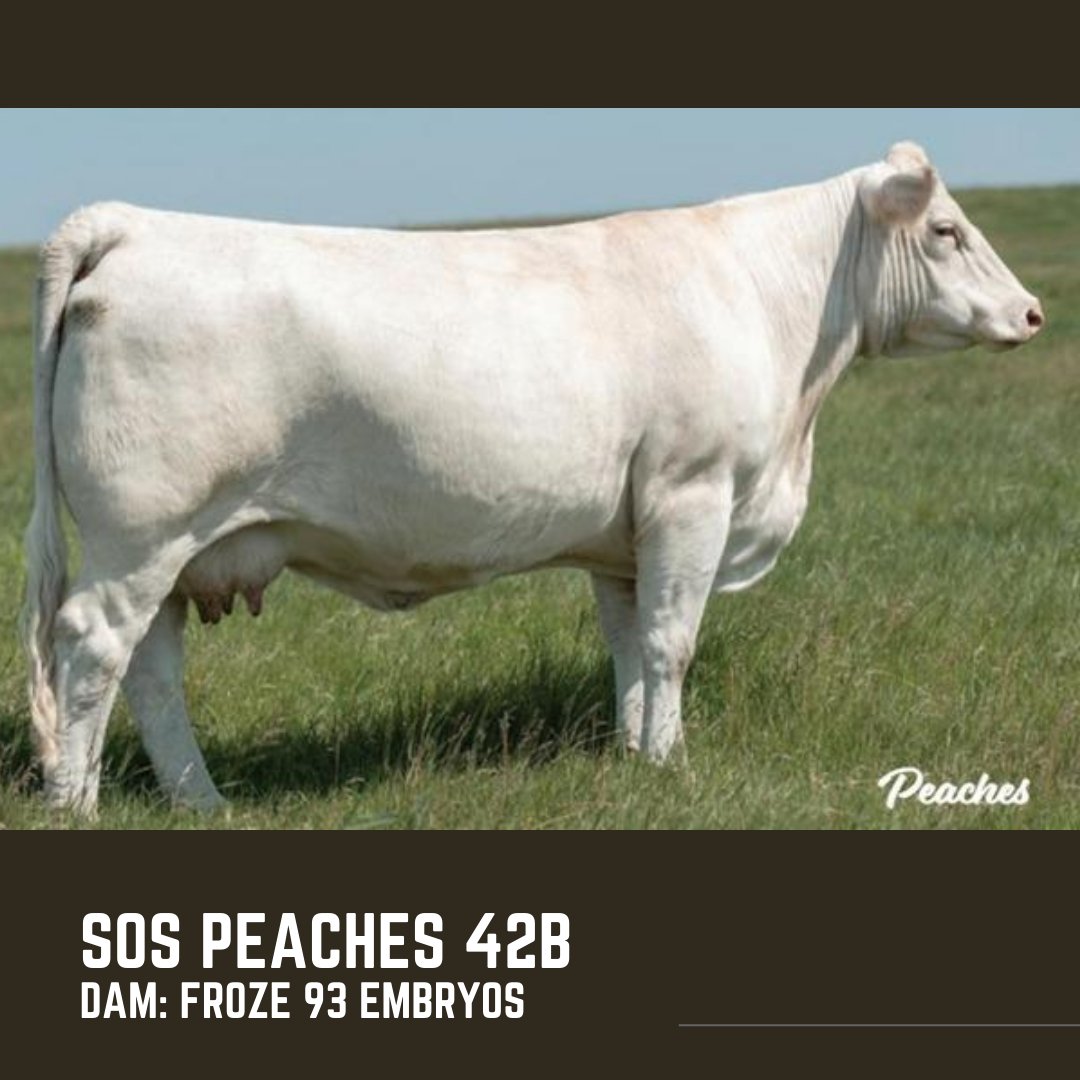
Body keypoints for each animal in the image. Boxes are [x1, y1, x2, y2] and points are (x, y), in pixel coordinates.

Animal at [20, 142, 1044, 815]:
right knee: (92, 648)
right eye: (945, 230)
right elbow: (672, 643)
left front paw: (635, 758)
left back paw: (199, 801)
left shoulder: (627, 536)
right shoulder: (694, 494)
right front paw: (674, 769)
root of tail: (130, 223)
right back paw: (76, 805)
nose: (1033, 312)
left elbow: (629, 646)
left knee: (151, 670)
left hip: (169, 550)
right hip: (140, 536)